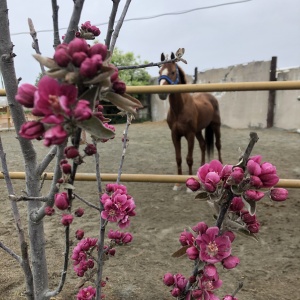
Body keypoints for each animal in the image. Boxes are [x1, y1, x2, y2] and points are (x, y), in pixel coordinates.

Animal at [158, 51, 221, 188]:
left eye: (172, 72)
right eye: (159, 72)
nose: (161, 93)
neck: (179, 109)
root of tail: (210, 97)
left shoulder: (189, 134)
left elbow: (189, 159)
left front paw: (189, 184)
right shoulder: (175, 135)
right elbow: (179, 158)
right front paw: (177, 184)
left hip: (215, 126)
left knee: (218, 145)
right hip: (198, 131)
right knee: (203, 145)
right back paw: (202, 168)